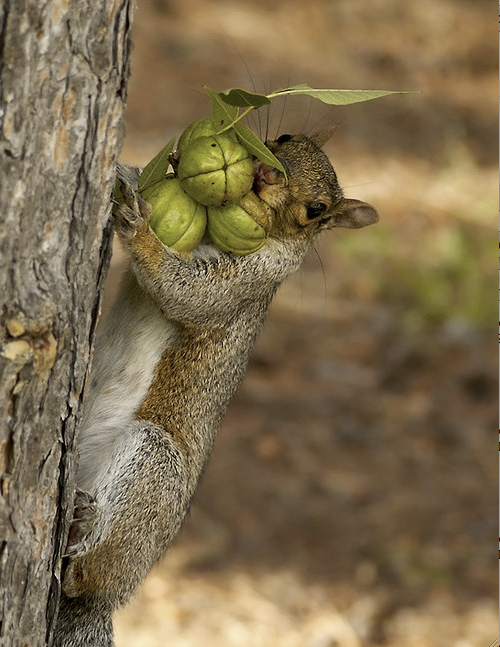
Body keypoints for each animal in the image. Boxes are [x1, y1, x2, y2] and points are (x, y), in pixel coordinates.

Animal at [52, 129, 376, 644]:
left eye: (317, 209)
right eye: (284, 137)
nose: (268, 172)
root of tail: (101, 608)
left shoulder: (247, 280)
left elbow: (186, 290)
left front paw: (138, 228)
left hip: (155, 464)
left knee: (89, 577)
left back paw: (83, 535)